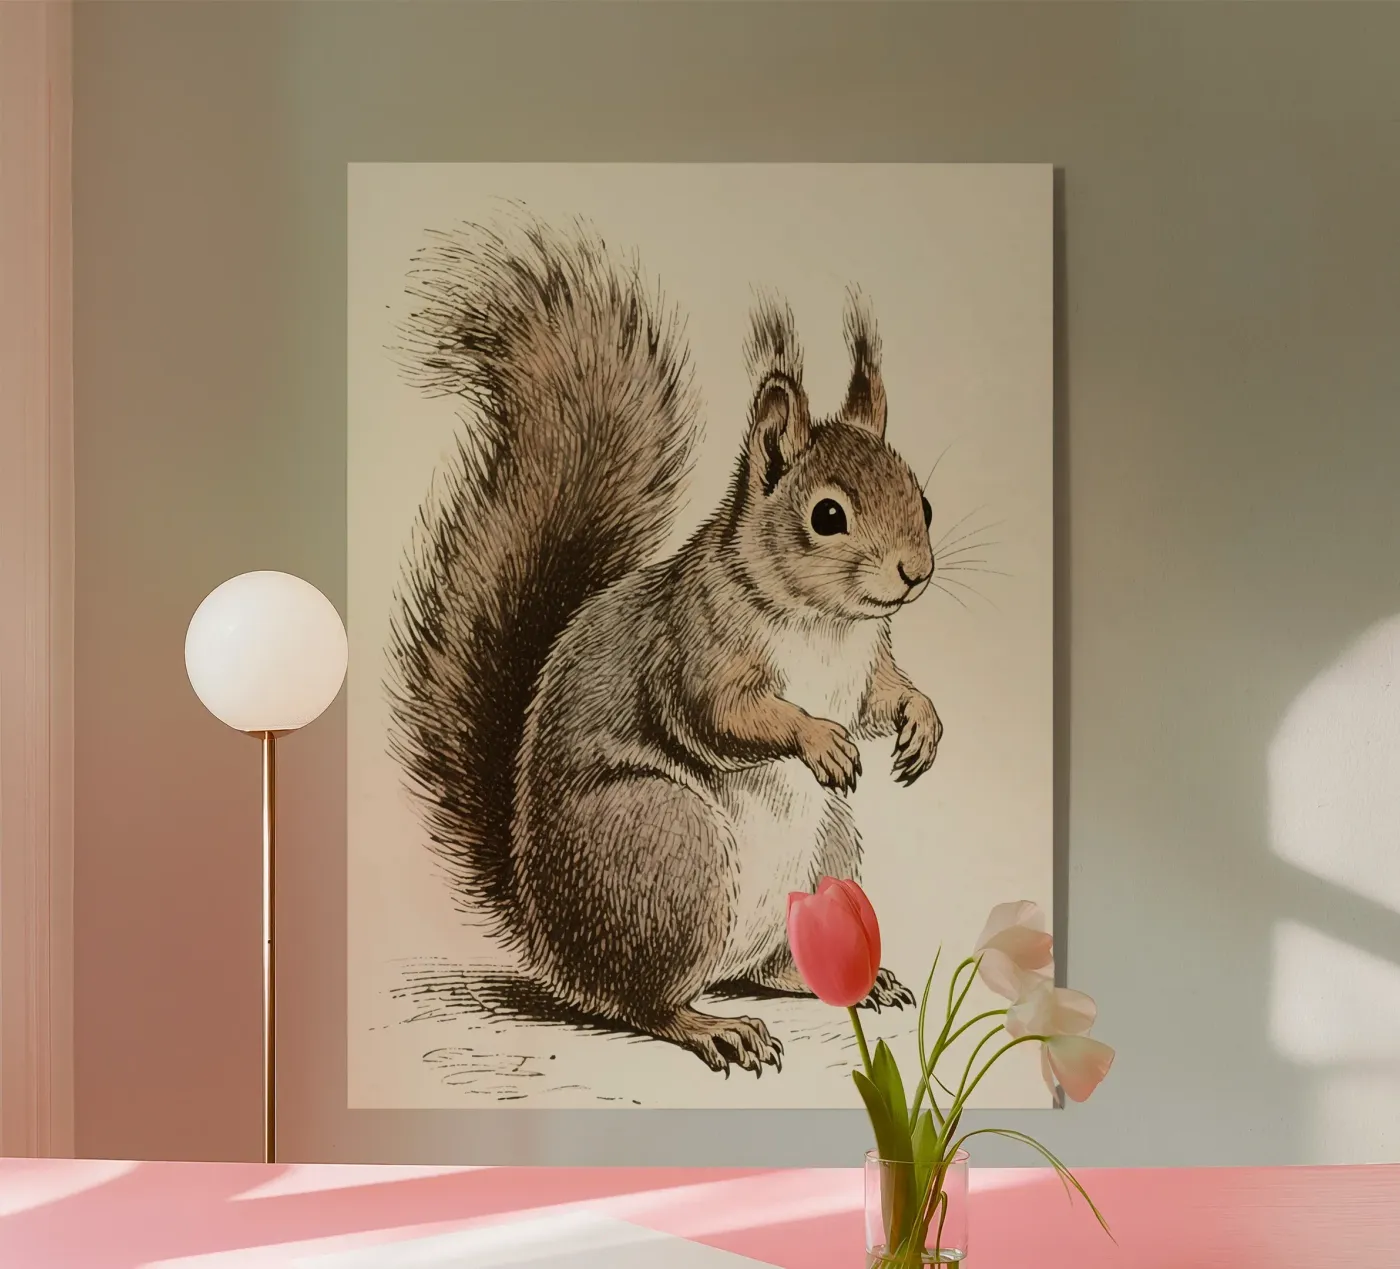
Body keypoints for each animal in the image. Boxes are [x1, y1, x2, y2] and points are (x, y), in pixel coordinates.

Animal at [388, 216, 942, 1077]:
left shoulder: (866, 663)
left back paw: (849, 977)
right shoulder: (693, 645)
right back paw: (712, 1025)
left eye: (923, 500)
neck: (825, 622)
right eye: (826, 515)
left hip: (828, 851)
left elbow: (887, 694)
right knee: (644, 1001)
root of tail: (557, 949)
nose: (916, 573)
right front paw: (819, 737)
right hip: (666, 848)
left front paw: (922, 722)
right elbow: (720, 715)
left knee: (769, 964)